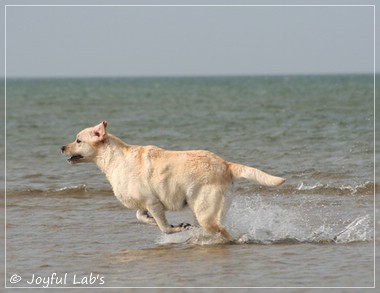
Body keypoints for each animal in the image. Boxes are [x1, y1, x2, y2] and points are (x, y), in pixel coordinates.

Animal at [61, 120, 284, 241]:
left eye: (78, 140)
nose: (61, 147)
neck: (114, 159)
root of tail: (225, 164)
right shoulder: (144, 204)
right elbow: (140, 216)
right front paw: (152, 220)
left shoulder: (153, 202)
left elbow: (164, 228)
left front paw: (178, 227)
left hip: (205, 211)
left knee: (224, 234)